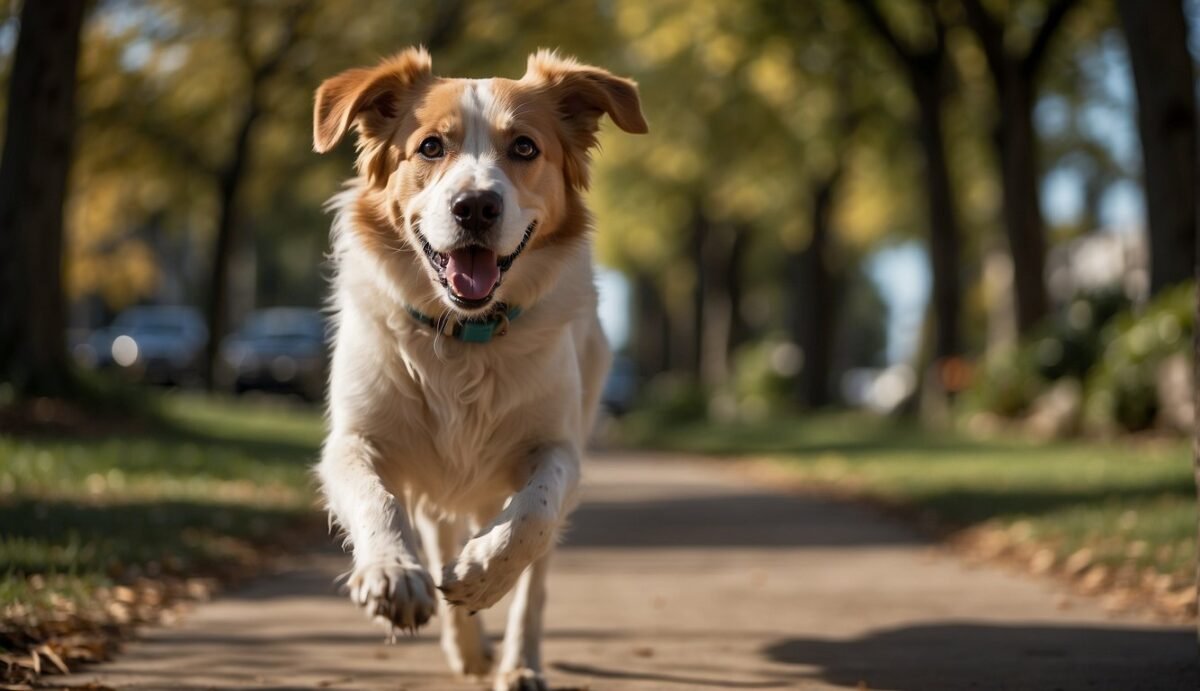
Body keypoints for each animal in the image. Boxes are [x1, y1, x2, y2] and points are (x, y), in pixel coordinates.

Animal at [309, 48, 648, 691]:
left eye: (525, 147)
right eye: (430, 147)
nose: (475, 207)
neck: (465, 337)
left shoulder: (558, 450)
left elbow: (532, 515)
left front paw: (483, 573)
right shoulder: (355, 441)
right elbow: (376, 500)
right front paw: (393, 573)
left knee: (534, 581)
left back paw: (517, 660)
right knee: (437, 528)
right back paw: (464, 643)